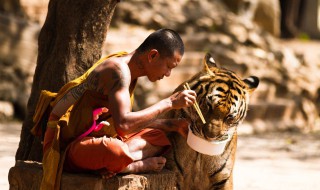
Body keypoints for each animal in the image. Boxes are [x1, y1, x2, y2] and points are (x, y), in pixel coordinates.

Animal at [164, 52, 258, 190]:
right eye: (208, 105)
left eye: (230, 117)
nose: (210, 136)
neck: (200, 154)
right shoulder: (173, 172)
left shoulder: (224, 178)